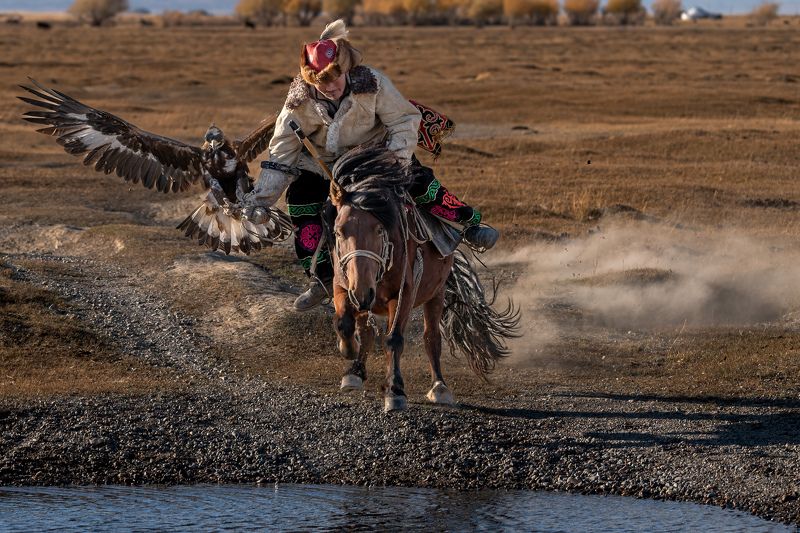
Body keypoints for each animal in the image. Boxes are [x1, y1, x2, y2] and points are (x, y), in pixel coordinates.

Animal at [322, 145, 520, 412]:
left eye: (379, 229)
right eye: (339, 231)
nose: (363, 292)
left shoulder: (404, 293)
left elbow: (394, 339)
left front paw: (395, 391)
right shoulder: (343, 286)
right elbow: (345, 323)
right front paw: (348, 351)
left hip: (435, 294)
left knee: (431, 338)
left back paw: (439, 387)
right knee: (367, 331)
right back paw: (356, 372)